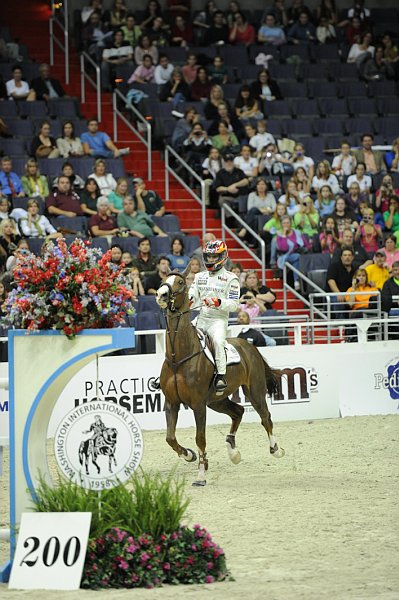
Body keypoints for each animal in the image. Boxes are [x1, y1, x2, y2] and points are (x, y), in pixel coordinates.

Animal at [156, 270, 284, 486]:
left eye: (180, 281)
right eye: (164, 279)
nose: (161, 295)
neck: (178, 358)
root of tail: (249, 346)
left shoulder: (198, 405)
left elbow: (200, 438)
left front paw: (200, 476)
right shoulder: (171, 403)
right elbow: (170, 438)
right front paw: (189, 455)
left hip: (255, 392)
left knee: (265, 418)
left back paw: (276, 449)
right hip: (216, 400)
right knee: (238, 411)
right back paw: (233, 451)